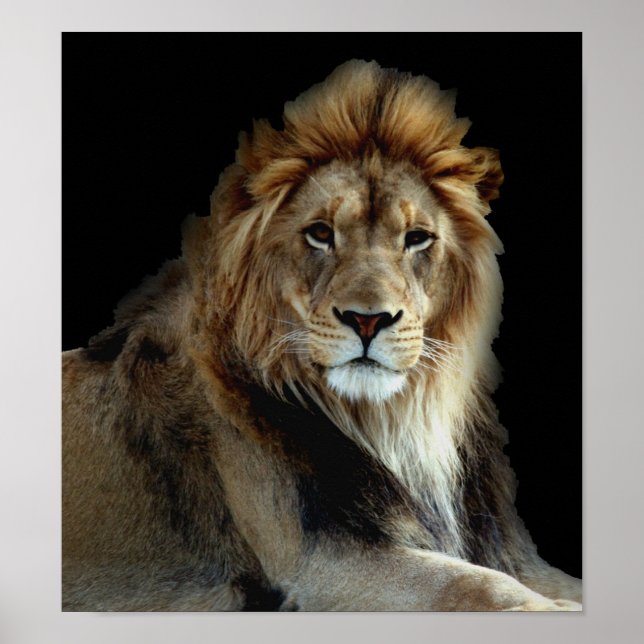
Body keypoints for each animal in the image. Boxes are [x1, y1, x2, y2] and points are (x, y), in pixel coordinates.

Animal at [62, 60, 581, 611]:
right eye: (320, 233)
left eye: (417, 238)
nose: (368, 320)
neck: (395, 423)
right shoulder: (322, 563)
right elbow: (472, 583)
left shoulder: (510, 553)